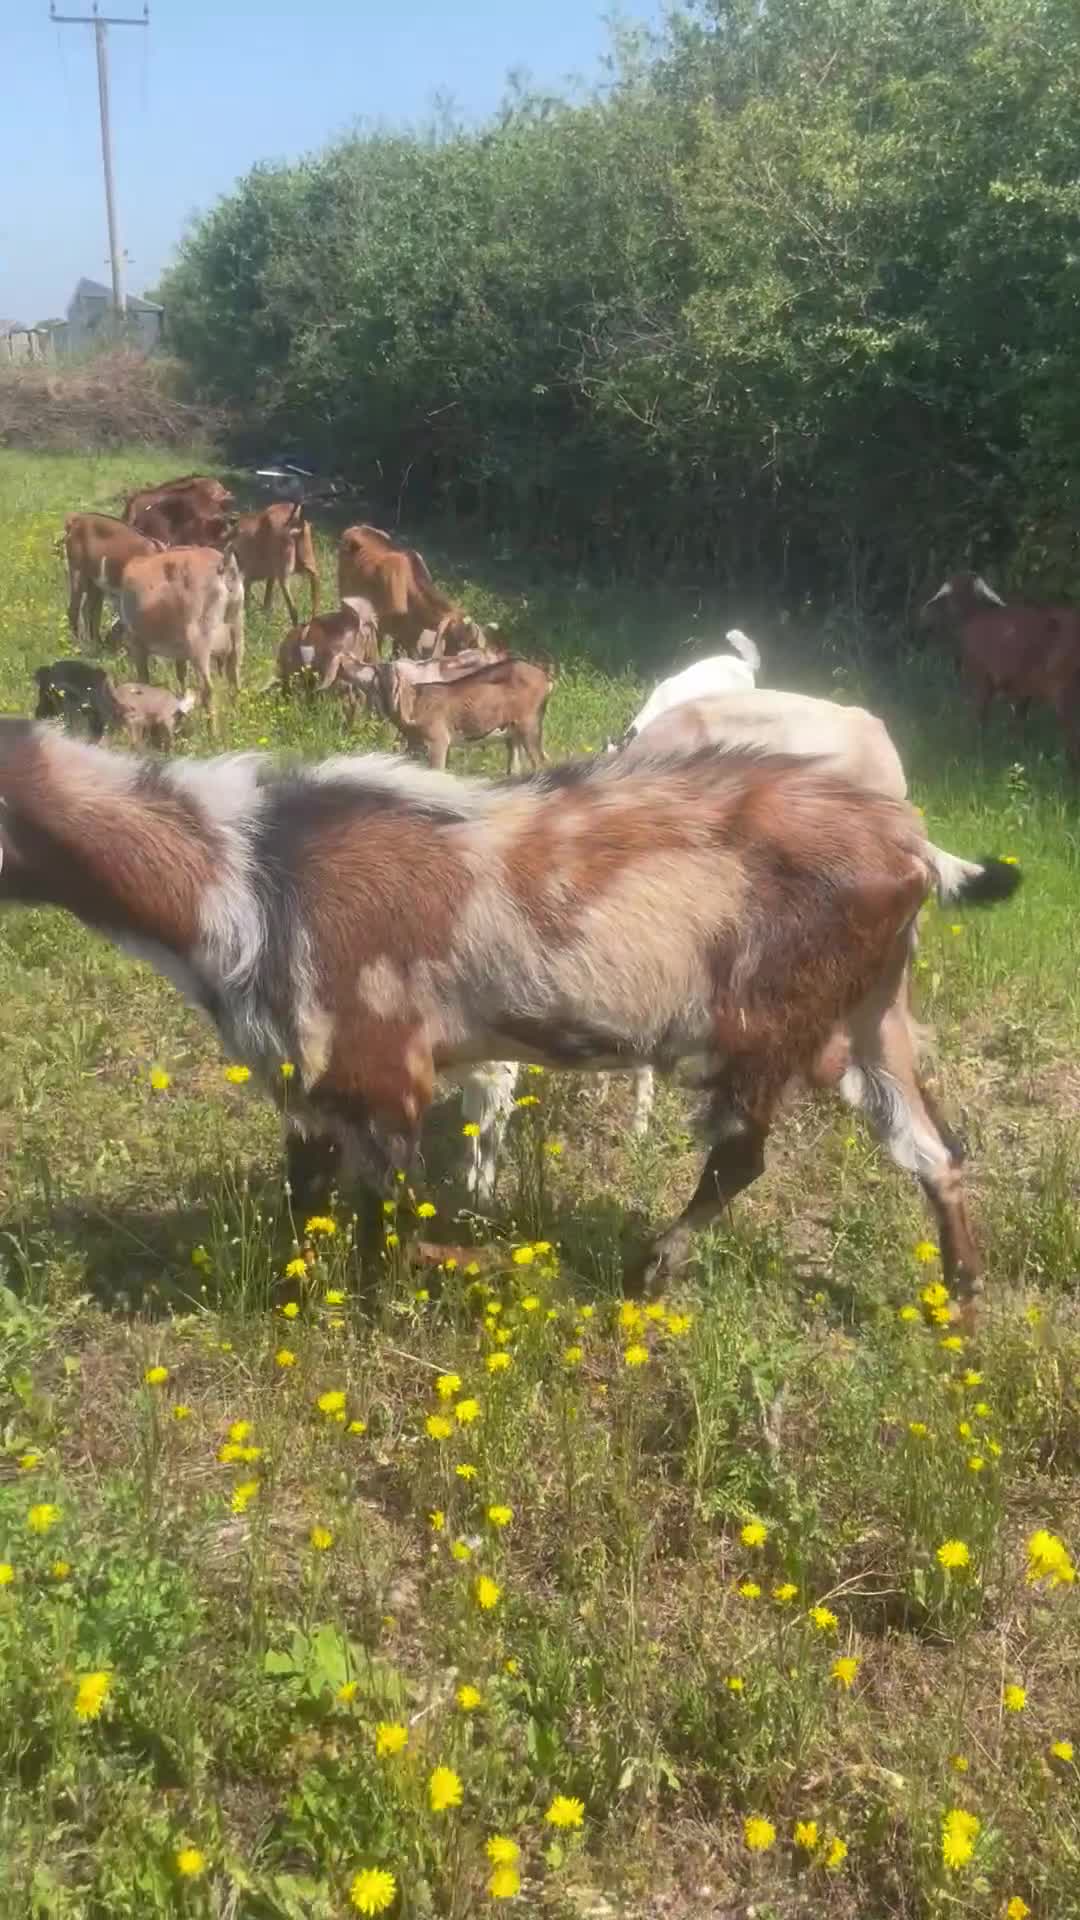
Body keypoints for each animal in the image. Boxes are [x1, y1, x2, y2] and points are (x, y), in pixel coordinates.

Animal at [0, 723, 1017, 1307]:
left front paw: (388, 1303)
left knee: (742, 1157)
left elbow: (382, 1215)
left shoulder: (380, 1064)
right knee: (933, 1148)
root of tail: (912, 844)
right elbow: (306, 1195)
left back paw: (650, 1270)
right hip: (869, 1020)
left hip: (769, 1023)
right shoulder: (307, 1075)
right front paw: (299, 1294)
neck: (245, 864)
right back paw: (962, 1293)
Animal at [62, 513, 162, 647]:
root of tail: (76, 519)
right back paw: (81, 645)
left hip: (95, 583)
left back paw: (96, 644)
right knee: (74, 610)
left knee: (89, 610)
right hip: (78, 572)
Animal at [119, 547, 245, 720]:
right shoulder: (180, 653)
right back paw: (236, 718)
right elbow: (181, 674)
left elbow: (144, 680)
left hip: (199, 640)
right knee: (235, 678)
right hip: (236, 631)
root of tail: (224, 565)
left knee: (208, 688)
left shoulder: (137, 644)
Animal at [373, 655, 552, 772]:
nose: (389, 705)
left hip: (528, 724)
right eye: (376, 686)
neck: (416, 707)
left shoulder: (437, 741)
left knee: (541, 763)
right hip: (514, 732)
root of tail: (546, 679)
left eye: (397, 683)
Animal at [922, 572, 1080, 765]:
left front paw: (979, 749)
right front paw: (1017, 752)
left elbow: (981, 717)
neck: (973, 615)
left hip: (1066, 693)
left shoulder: (983, 679)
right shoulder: (1023, 690)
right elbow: (1018, 721)